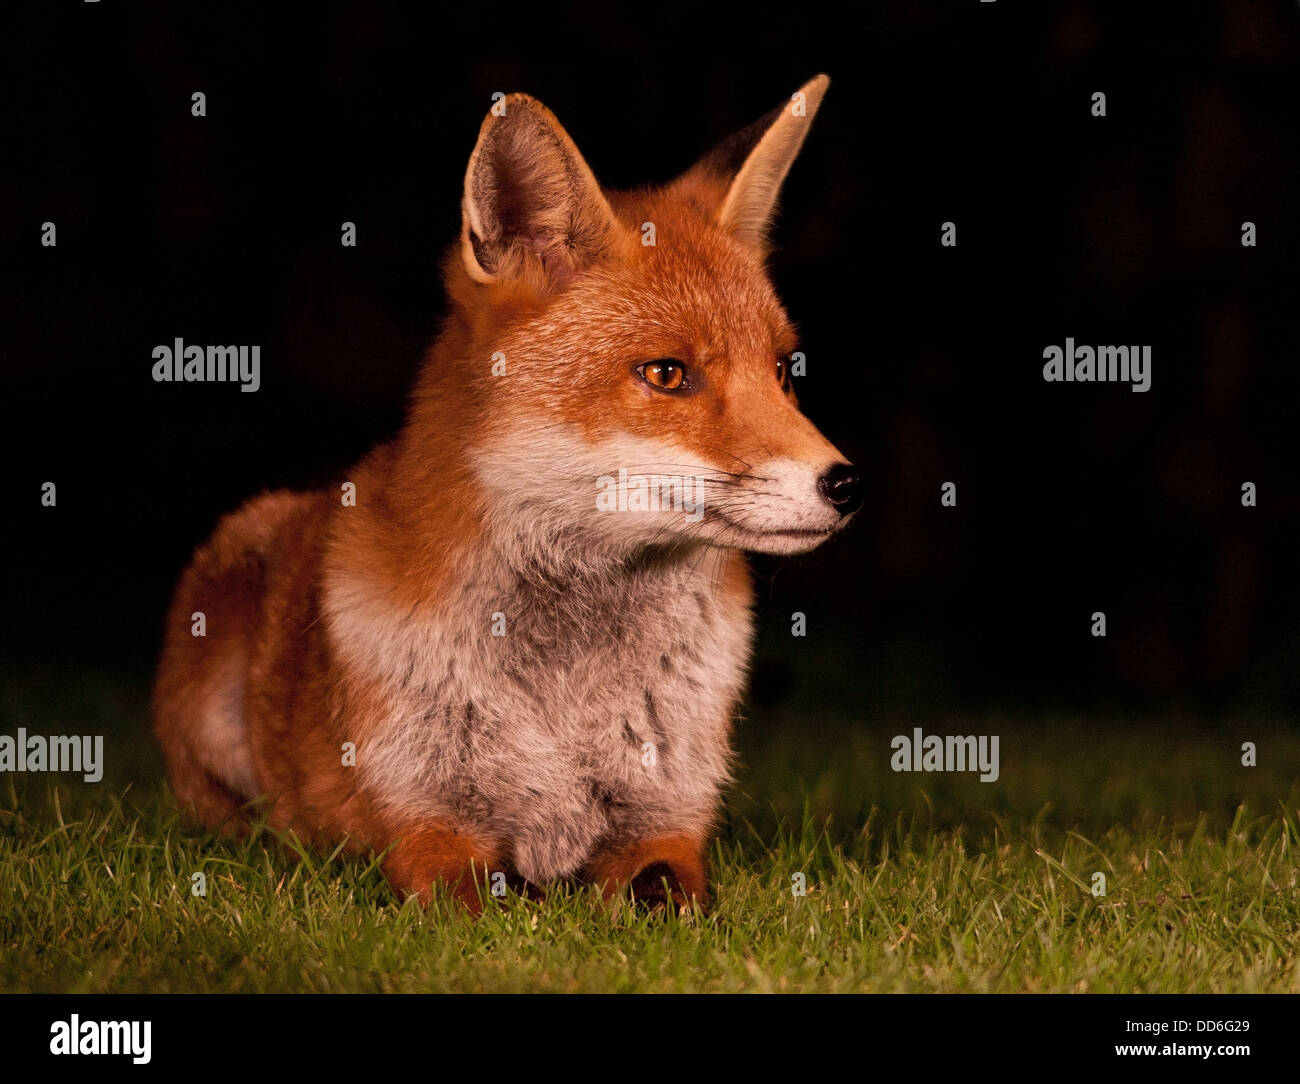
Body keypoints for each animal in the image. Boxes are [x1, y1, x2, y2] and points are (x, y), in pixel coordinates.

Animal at [154, 71, 863, 909]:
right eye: (667, 374)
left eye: (784, 371)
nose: (845, 482)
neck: (568, 695)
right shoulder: (429, 828)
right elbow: (478, 898)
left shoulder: (665, 822)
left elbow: (676, 899)